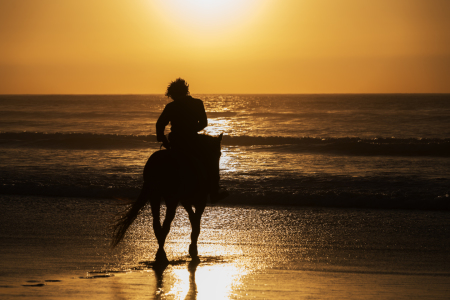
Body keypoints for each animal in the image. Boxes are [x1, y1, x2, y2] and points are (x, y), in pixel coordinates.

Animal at [111, 134, 223, 262]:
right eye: (218, 153)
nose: (216, 179)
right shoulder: (200, 201)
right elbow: (196, 223)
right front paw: (193, 248)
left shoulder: (186, 201)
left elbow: (193, 219)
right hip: (171, 199)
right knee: (166, 224)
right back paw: (161, 254)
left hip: (154, 195)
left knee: (157, 223)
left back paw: (160, 251)